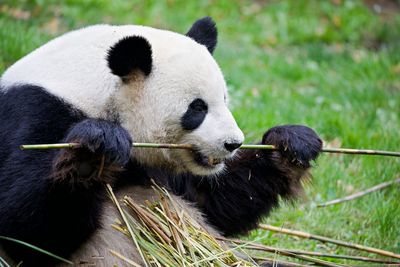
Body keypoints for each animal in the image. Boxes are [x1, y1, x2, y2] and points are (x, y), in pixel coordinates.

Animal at [0, 17, 322, 266]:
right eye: (198, 108)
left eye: (225, 99)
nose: (233, 143)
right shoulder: (36, 111)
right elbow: (27, 226)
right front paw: (93, 153)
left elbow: (214, 203)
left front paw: (290, 144)